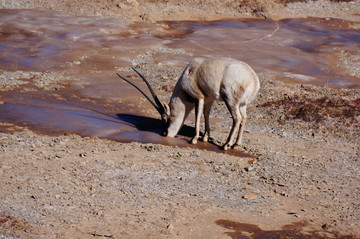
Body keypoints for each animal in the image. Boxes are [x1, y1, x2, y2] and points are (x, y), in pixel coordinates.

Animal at [116, 56, 260, 149]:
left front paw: (194, 139)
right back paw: (236, 144)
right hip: (242, 105)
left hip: (230, 100)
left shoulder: (199, 97)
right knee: (244, 118)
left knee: (237, 118)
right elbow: (206, 115)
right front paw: (205, 138)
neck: (189, 72)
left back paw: (226, 145)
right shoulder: (209, 99)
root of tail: (254, 80)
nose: (164, 134)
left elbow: (197, 115)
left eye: (165, 117)